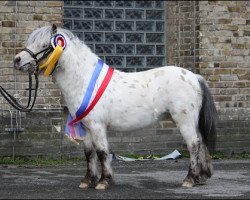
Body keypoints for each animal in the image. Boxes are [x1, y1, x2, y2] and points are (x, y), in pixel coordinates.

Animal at [13, 25, 217, 189]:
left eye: (43, 45)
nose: (17, 60)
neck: (84, 80)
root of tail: (194, 76)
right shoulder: (86, 127)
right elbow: (89, 154)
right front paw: (87, 181)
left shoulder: (97, 126)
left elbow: (102, 152)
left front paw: (104, 182)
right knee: (201, 143)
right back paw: (201, 178)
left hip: (184, 120)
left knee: (193, 145)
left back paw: (189, 179)